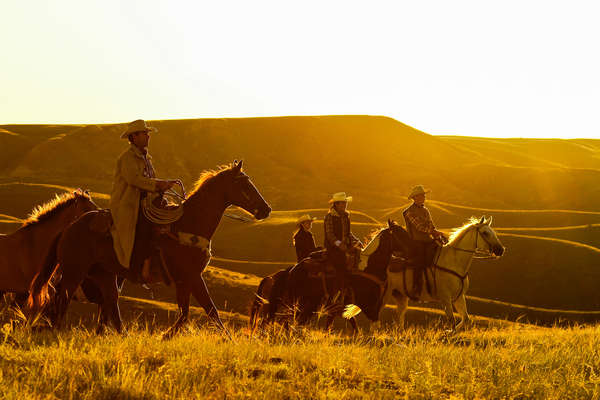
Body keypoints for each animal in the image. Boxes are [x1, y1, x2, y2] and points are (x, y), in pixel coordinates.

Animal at [28, 161, 270, 336]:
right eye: (244, 184)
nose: (266, 209)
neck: (189, 223)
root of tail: (68, 228)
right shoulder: (192, 277)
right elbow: (207, 311)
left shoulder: (185, 280)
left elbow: (190, 312)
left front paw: (167, 336)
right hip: (74, 273)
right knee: (61, 300)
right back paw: (54, 330)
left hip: (104, 275)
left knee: (110, 305)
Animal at [255, 220, 410, 332]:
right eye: (401, 233)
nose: (413, 248)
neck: (369, 267)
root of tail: (292, 271)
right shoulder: (368, 305)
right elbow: (373, 326)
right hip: (298, 302)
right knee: (287, 321)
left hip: (308, 304)